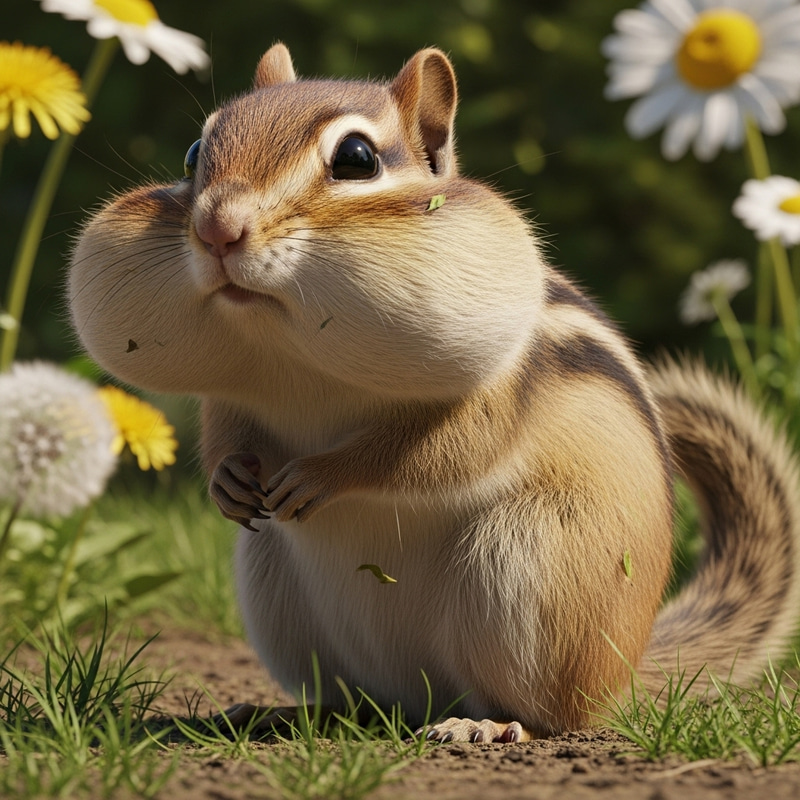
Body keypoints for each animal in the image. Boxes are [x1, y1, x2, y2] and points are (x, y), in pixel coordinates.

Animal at [69, 43, 800, 742]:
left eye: (356, 158)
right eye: (195, 154)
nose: (218, 228)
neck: (297, 360)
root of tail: (626, 669)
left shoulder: (495, 393)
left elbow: (434, 452)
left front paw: (324, 475)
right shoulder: (233, 398)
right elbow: (224, 436)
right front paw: (227, 481)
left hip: (528, 567)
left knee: (553, 713)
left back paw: (486, 723)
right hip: (274, 581)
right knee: (356, 700)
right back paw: (283, 713)